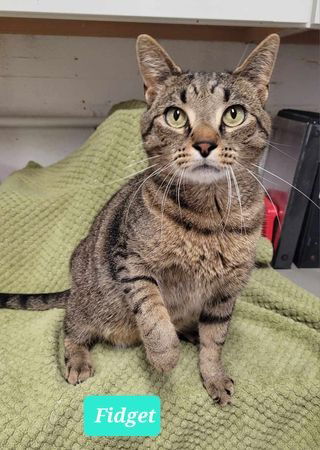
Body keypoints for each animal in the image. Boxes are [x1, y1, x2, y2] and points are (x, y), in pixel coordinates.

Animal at [0, 33, 280, 406]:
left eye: (234, 114)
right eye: (175, 116)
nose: (205, 143)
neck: (208, 217)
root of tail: (74, 288)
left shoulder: (226, 291)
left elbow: (215, 340)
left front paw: (214, 376)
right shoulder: (131, 262)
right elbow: (152, 311)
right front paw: (164, 354)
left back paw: (189, 330)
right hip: (89, 303)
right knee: (70, 327)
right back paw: (79, 360)